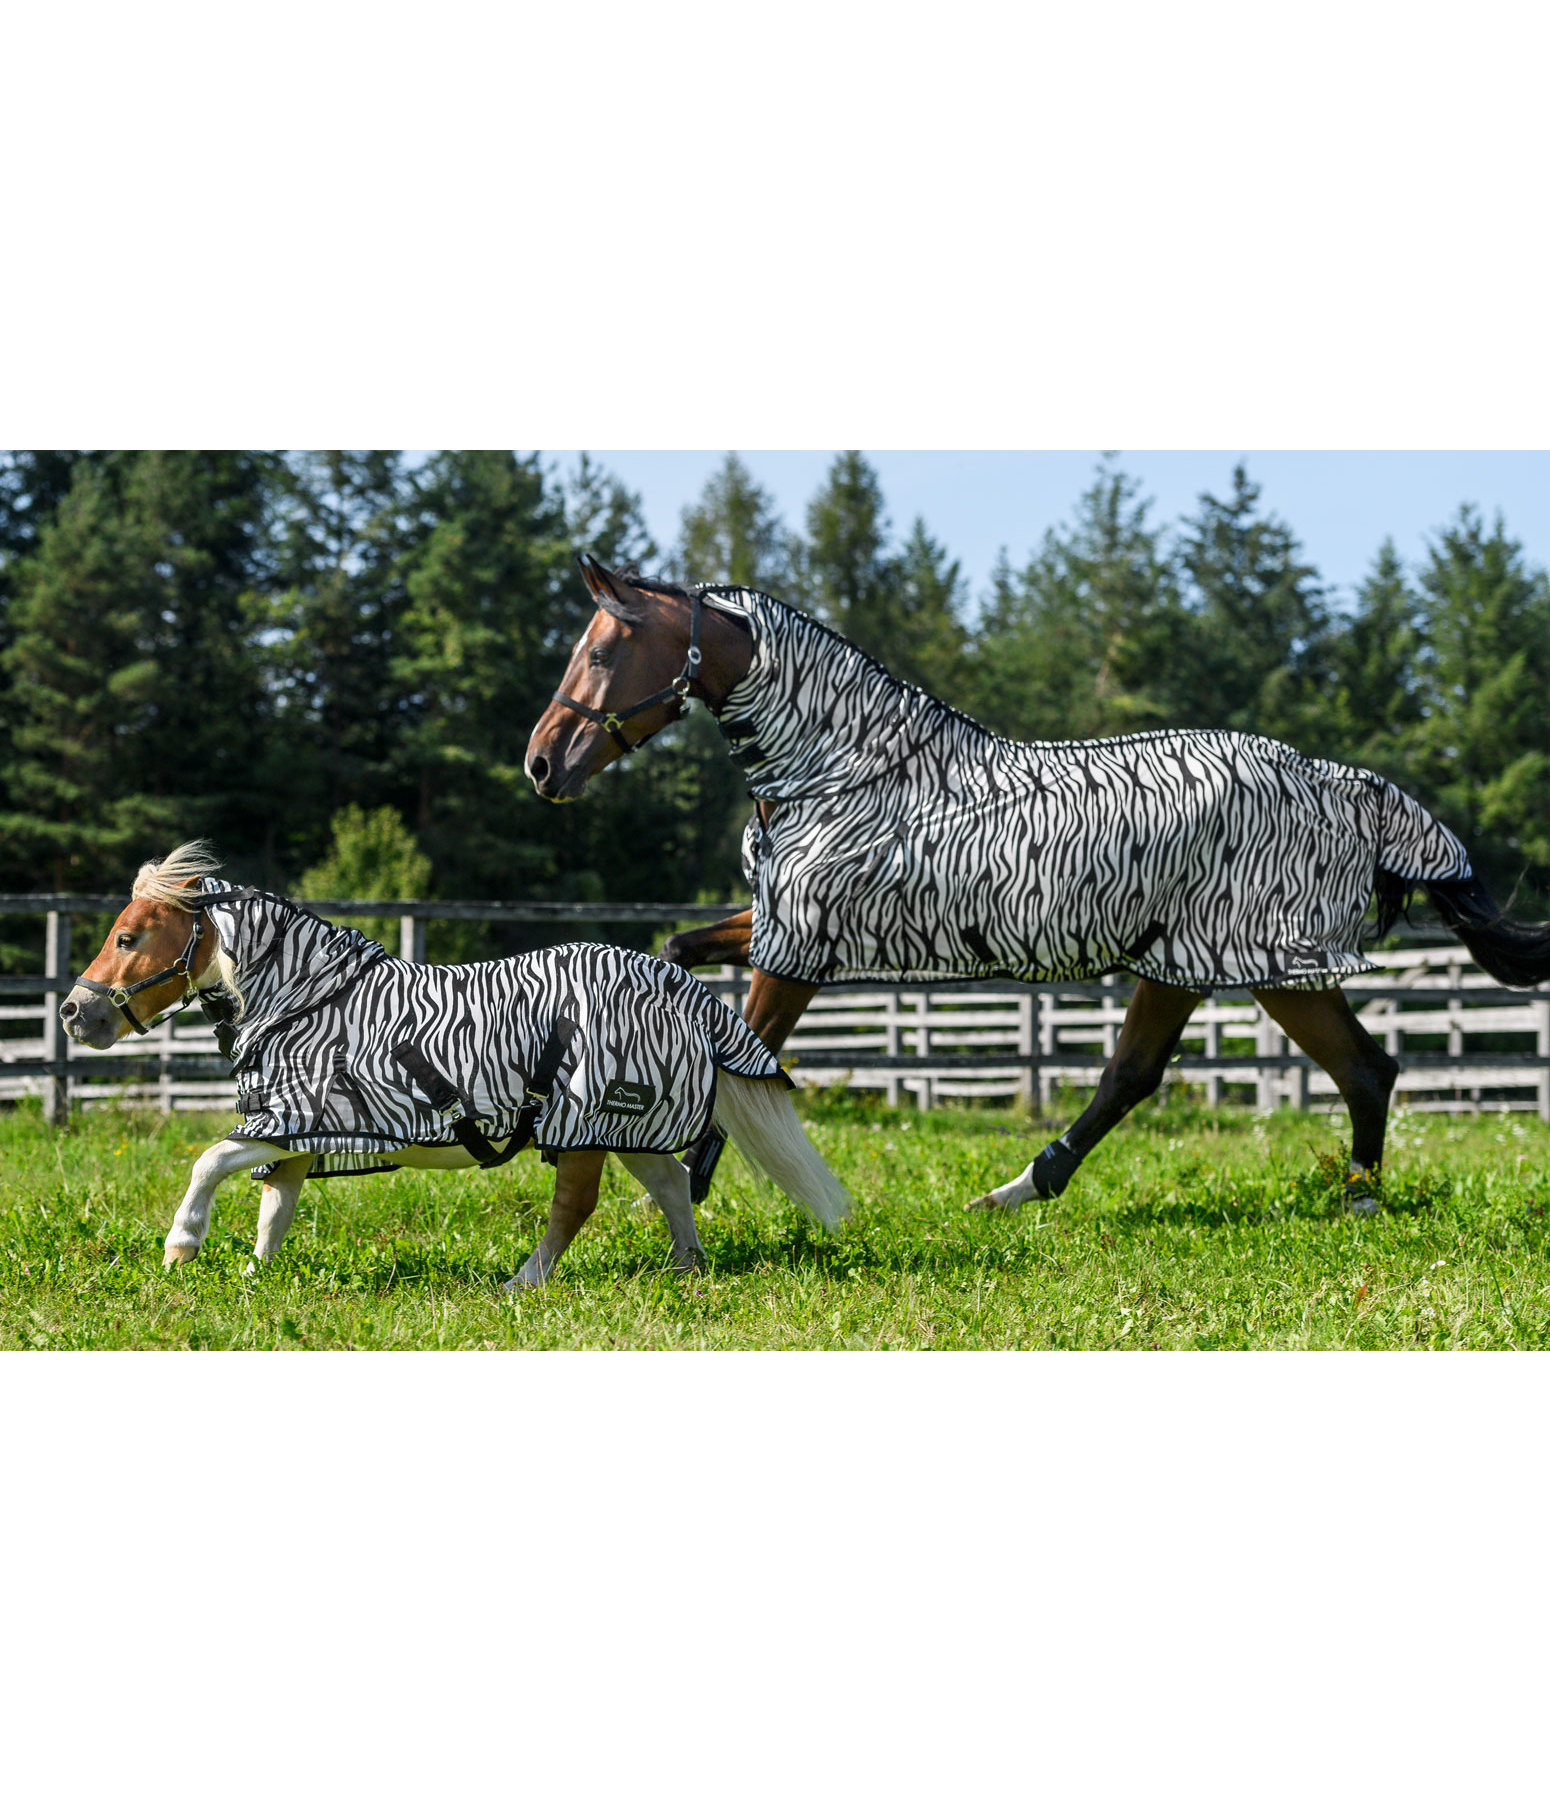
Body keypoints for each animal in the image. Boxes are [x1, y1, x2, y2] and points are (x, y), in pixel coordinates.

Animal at [60, 842, 846, 1281]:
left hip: (583, 1127)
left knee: (576, 1207)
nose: (74, 1013)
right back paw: (687, 1271)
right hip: (626, 1128)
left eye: (128, 937)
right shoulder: (296, 1136)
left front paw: (180, 1249)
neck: (305, 1000)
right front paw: (253, 1280)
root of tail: (678, 985)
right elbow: (273, 1214)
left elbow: (208, 1163)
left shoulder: (292, 1119)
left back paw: (522, 1284)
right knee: (674, 1183)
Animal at [522, 554, 1548, 1216]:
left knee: (1326, 1071)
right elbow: (680, 960)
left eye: (602, 654)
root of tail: (1339, 783)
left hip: (1257, 963)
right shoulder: (780, 929)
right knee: (1210, 1073)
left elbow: (749, 1052)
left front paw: (683, 1191)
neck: (843, 770)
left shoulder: (801, 953)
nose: (541, 764)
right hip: (1194, 966)